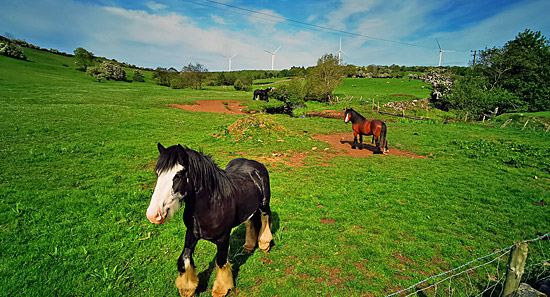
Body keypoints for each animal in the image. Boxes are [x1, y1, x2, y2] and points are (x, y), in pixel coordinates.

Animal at [148, 142, 274, 294]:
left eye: (178, 175)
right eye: (158, 174)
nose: (153, 215)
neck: (211, 204)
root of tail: (255, 164)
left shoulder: (224, 238)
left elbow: (221, 261)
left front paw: (221, 288)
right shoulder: (191, 233)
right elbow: (184, 258)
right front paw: (187, 288)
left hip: (264, 204)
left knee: (265, 217)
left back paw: (264, 244)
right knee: (250, 220)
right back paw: (249, 246)